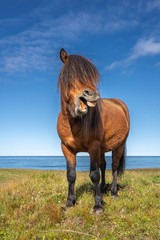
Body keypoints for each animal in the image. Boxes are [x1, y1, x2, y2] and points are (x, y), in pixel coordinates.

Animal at [57, 48, 129, 214]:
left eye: (90, 76)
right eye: (70, 74)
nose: (93, 94)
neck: (73, 122)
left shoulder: (93, 147)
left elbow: (94, 174)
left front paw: (97, 206)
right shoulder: (67, 148)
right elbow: (71, 175)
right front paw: (69, 203)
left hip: (119, 145)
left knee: (114, 167)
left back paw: (113, 193)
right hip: (102, 149)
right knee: (103, 165)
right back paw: (102, 190)